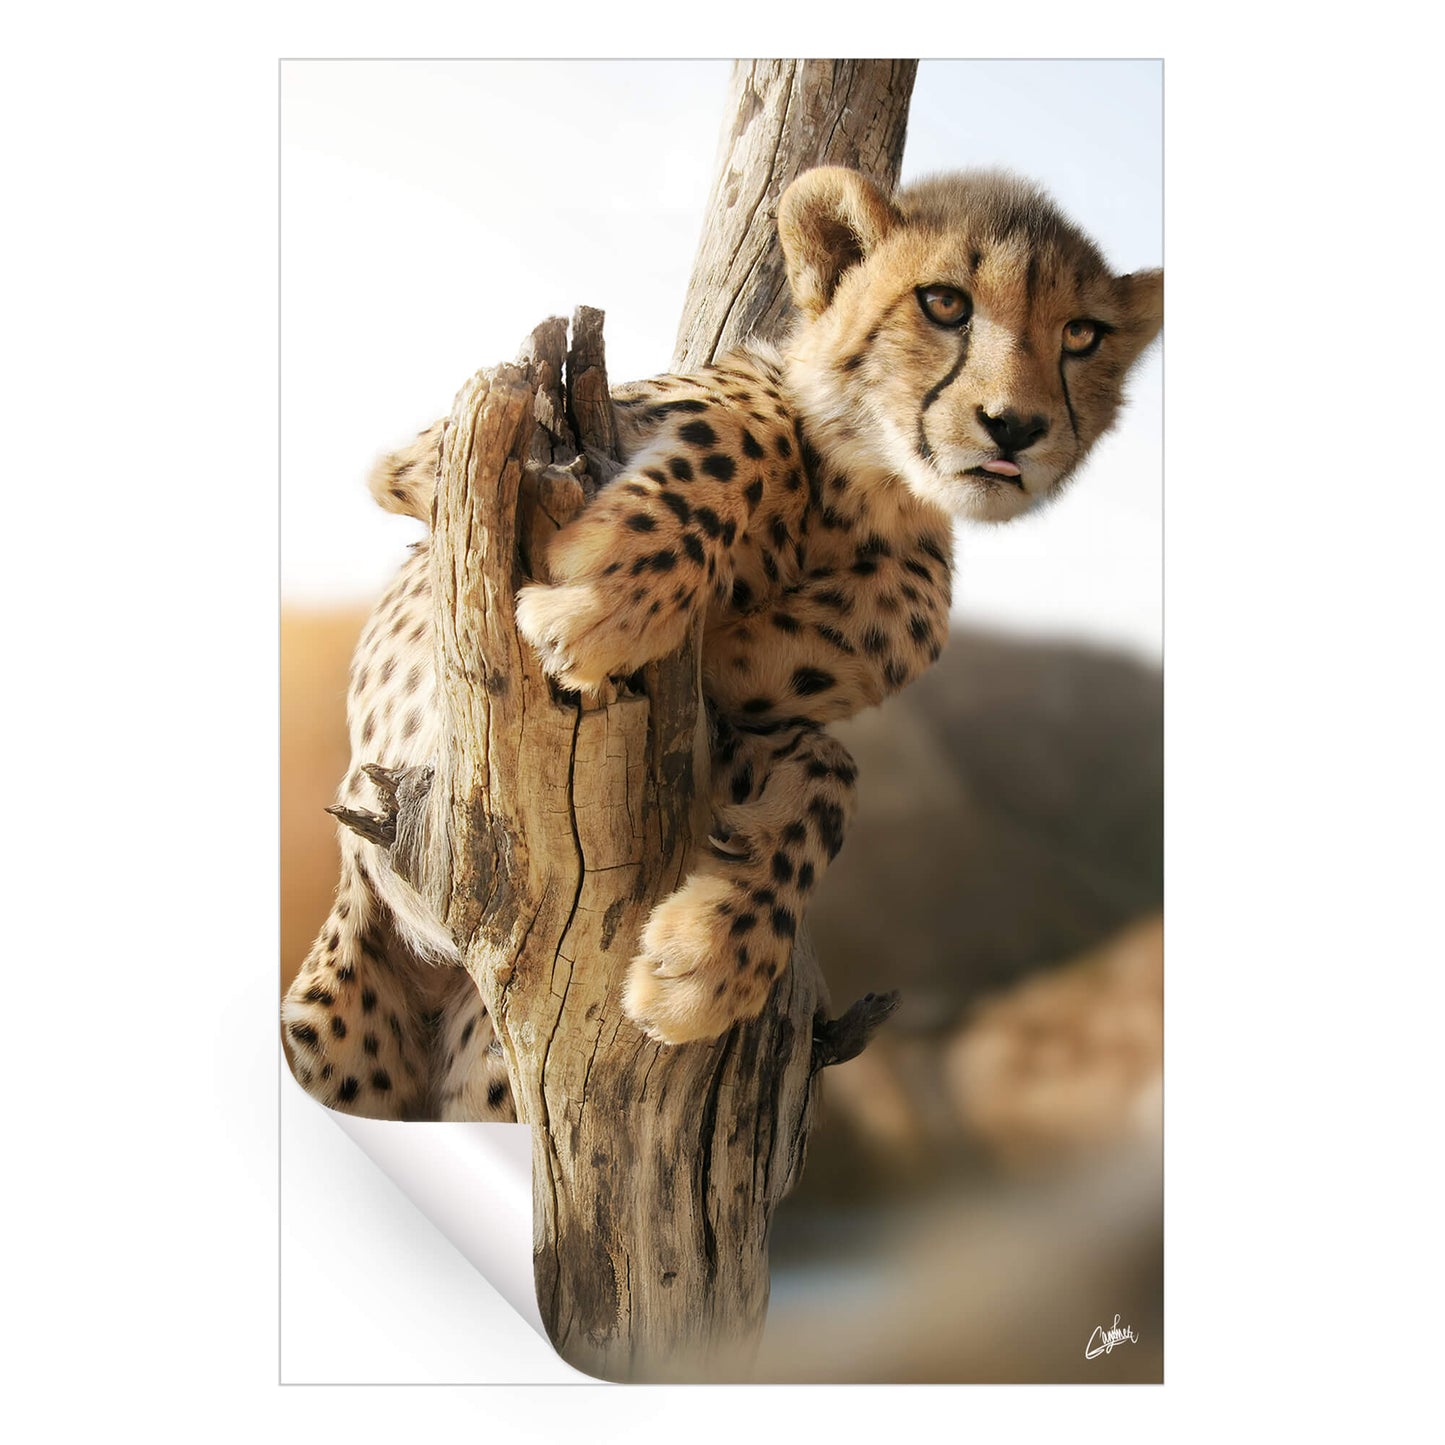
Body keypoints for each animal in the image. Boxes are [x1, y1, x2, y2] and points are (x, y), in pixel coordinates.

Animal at [282, 165, 1163, 1122]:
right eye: (943, 303)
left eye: (1081, 334)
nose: (1015, 426)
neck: (865, 492)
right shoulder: (441, 452)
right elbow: (751, 422)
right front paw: (609, 589)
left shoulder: (739, 725)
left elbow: (838, 754)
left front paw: (711, 958)